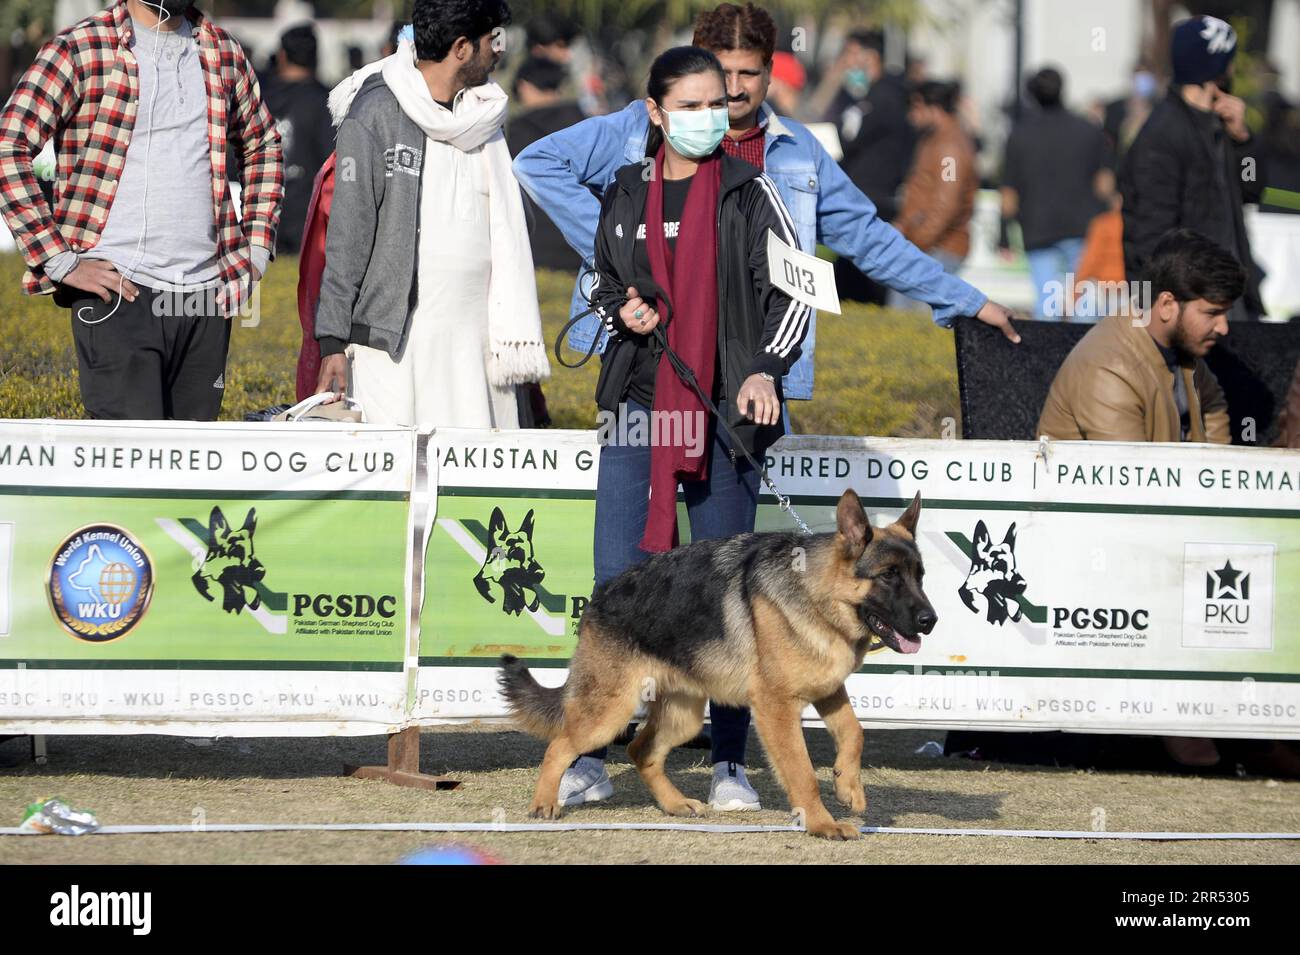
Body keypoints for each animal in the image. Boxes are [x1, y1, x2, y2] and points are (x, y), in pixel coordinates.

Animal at [496, 488, 935, 841]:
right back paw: (545, 803)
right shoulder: (777, 708)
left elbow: (854, 732)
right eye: (889, 576)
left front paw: (848, 787)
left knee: (641, 749)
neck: (817, 594)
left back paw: (675, 805)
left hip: (684, 717)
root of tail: (599, 598)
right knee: (560, 744)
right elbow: (803, 773)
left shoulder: (828, 689)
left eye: (920, 576)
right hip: (609, 712)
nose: (930, 621)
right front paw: (821, 824)